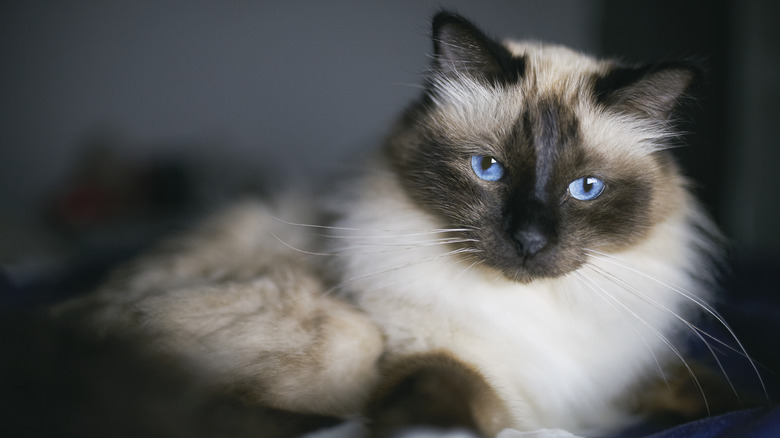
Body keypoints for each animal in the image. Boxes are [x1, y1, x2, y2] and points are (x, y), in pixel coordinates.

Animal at [48, 10, 760, 438]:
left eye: (585, 188)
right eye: (488, 169)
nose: (529, 242)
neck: (533, 311)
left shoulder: (614, 379)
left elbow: (732, 395)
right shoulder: (424, 353)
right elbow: (452, 403)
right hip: (343, 333)